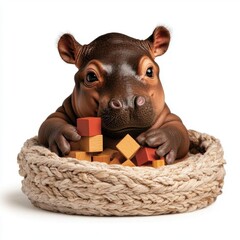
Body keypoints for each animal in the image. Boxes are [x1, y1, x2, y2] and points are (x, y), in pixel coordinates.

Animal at [38, 26, 190, 165]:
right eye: (91, 76)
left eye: (149, 70)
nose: (128, 103)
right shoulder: (64, 109)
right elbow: (50, 122)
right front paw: (65, 136)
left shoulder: (167, 115)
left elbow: (179, 130)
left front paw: (160, 139)